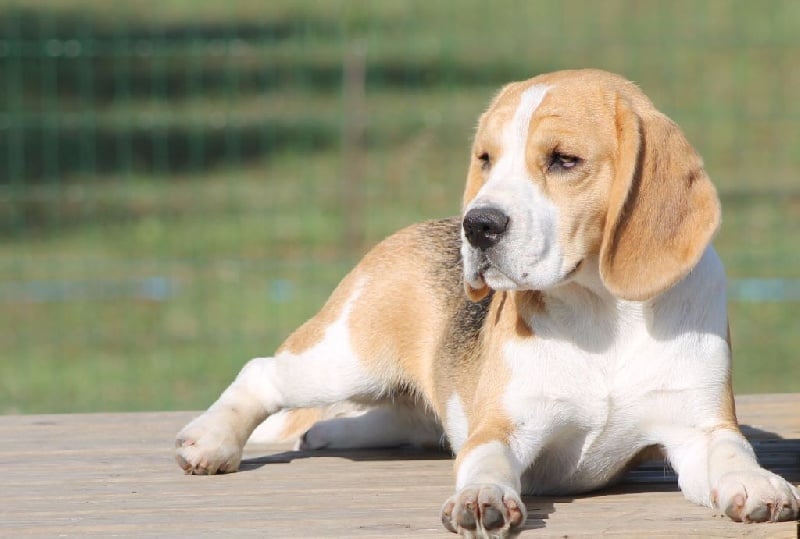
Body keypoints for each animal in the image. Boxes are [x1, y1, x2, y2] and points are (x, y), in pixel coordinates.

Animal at [175, 69, 800, 536]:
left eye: (563, 160)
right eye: (486, 160)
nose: (477, 226)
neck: (603, 315)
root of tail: (404, 234)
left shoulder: (699, 427)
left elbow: (732, 453)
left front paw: (757, 484)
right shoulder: (503, 425)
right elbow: (484, 461)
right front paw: (481, 498)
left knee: (367, 423)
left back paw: (322, 435)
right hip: (344, 359)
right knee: (262, 372)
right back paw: (211, 440)